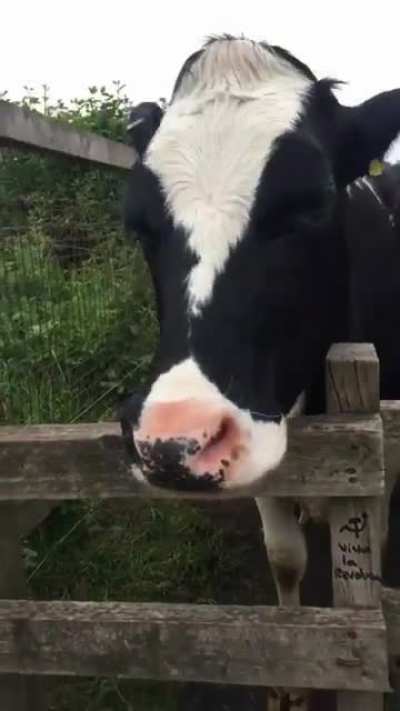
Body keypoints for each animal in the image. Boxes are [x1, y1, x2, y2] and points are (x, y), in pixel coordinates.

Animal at [120, 36, 400, 709]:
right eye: (137, 224)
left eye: (314, 205)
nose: (172, 441)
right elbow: (285, 558)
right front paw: (289, 685)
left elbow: (373, 547)